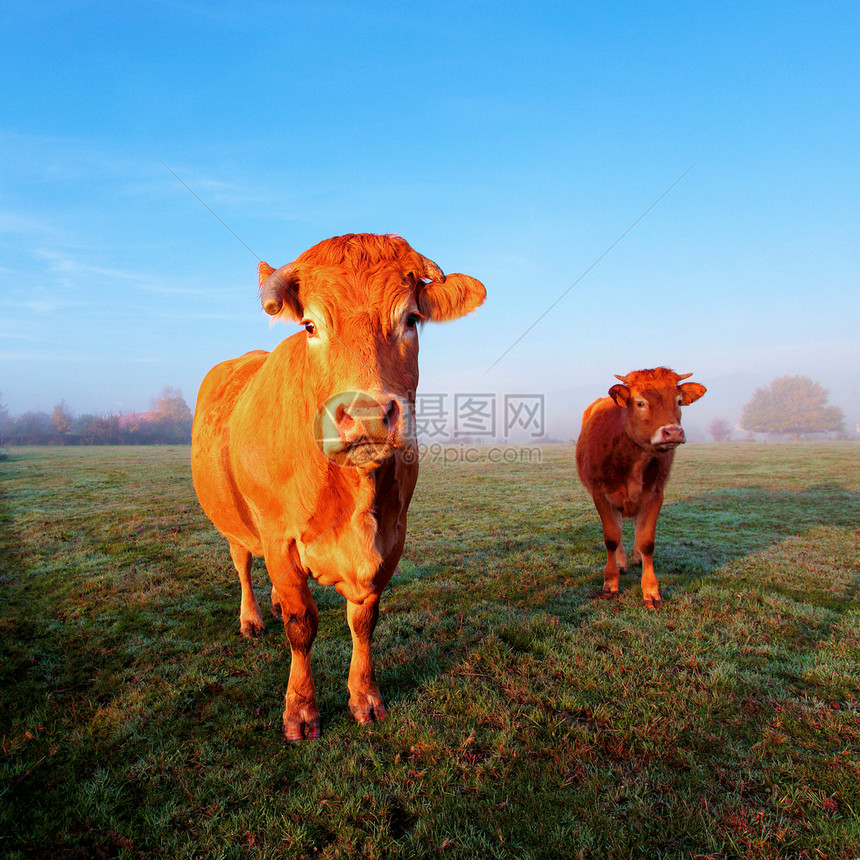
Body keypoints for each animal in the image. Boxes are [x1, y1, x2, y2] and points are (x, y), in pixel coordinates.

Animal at [191, 235, 484, 740]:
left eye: (411, 319)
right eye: (310, 325)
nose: (366, 414)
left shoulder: (392, 537)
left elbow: (363, 621)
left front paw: (364, 696)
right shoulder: (279, 536)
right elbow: (302, 623)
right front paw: (300, 709)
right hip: (236, 521)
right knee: (243, 564)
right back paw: (251, 617)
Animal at [576, 366, 704, 608]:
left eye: (679, 401)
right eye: (640, 402)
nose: (673, 432)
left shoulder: (655, 495)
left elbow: (647, 541)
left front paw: (651, 591)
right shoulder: (601, 496)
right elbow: (611, 538)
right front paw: (610, 583)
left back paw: (635, 558)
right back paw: (622, 562)